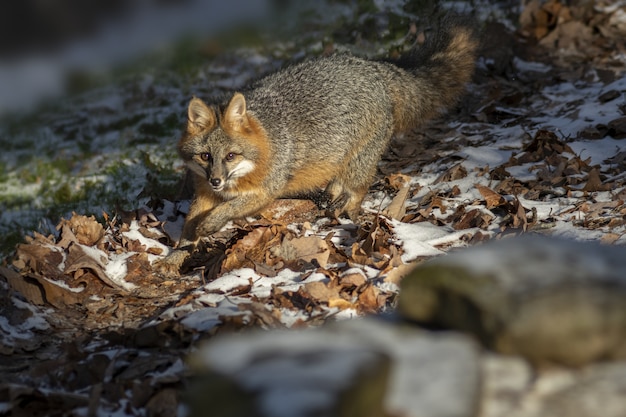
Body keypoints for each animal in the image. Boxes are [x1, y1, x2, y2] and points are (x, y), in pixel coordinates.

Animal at [154, 14, 476, 274]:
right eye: (206, 156)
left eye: (231, 155)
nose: (217, 180)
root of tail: (372, 66)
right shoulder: (203, 195)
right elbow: (188, 232)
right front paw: (174, 258)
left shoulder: (265, 190)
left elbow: (228, 209)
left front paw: (210, 225)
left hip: (358, 164)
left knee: (357, 191)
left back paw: (346, 216)